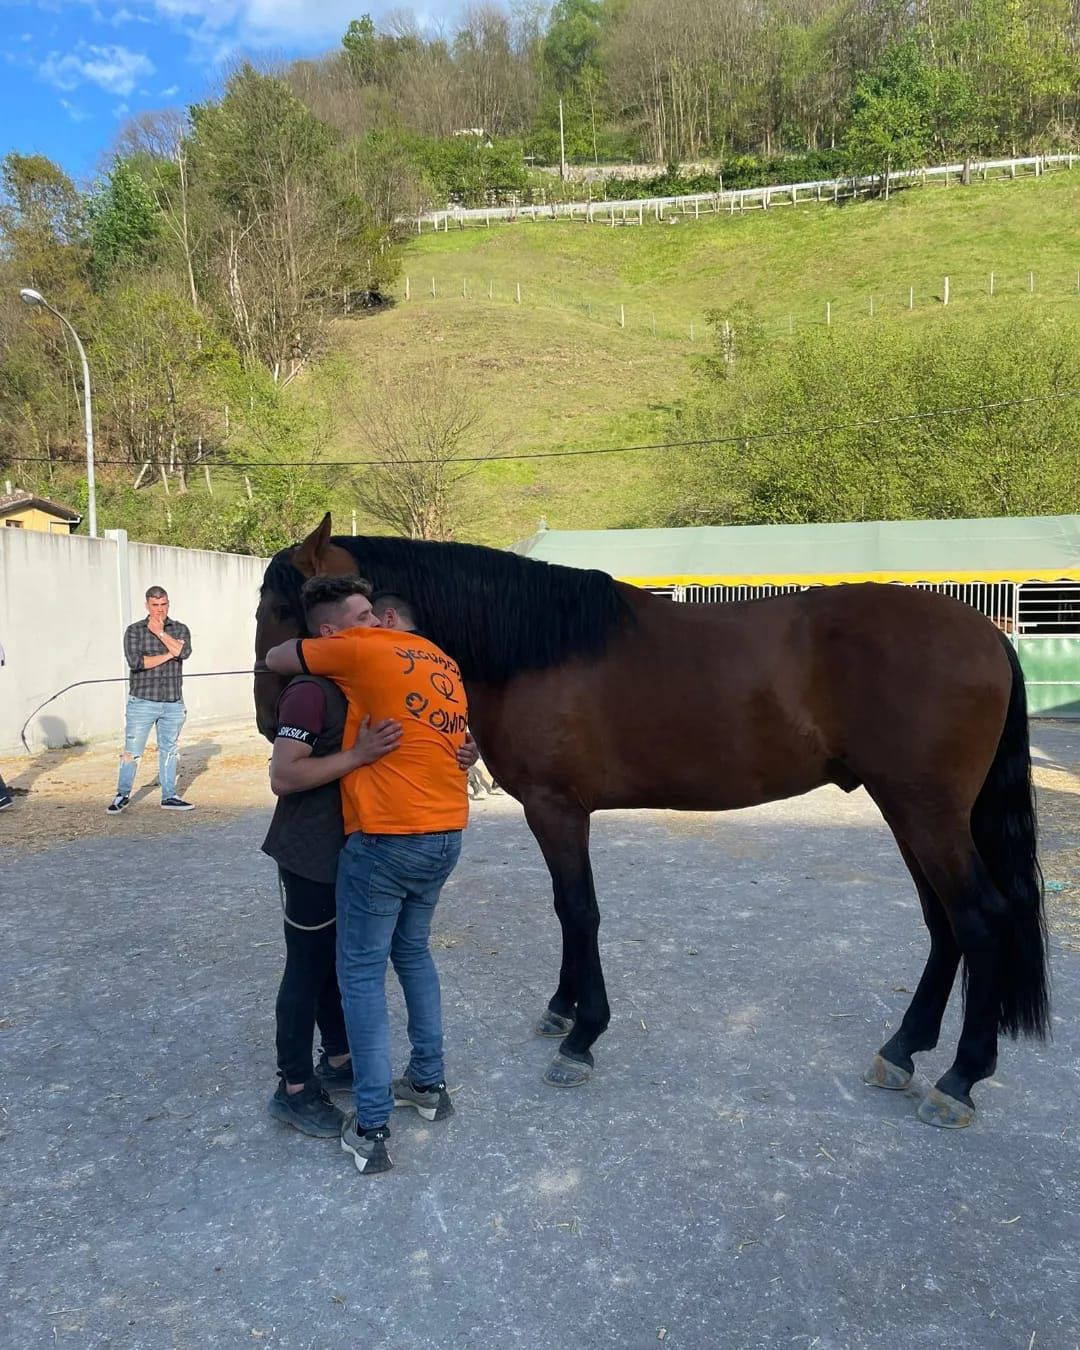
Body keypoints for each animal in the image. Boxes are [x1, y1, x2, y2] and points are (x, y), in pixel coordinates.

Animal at [253, 515, 1047, 1128]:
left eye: (287, 612)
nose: (270, 720)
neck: (535, 646)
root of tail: (987, 633)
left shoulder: (558, 809)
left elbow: (579, 910)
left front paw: (582, 1036)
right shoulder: (554, 812)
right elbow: (566, 909)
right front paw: (564, 1010)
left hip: (927, 813)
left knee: (979, 920)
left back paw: (959, 1080)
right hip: (910, 812)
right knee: (944, 926)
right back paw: (903, 1050)